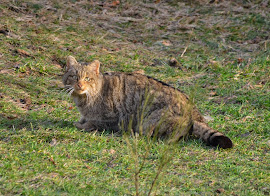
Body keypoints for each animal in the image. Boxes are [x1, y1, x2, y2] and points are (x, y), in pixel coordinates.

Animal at [62, 55, 232, 149]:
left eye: (87, 78)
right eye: (74, 77)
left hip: (151, 120)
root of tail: (194, 112)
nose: (80, 85)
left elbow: (93, 123)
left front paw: (82, 125)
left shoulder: (112, 119)